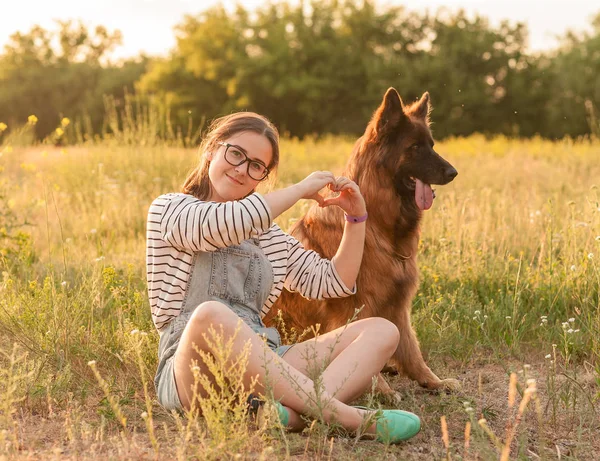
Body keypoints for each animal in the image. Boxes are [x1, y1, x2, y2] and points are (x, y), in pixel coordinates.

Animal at [266, 88, 460, 394]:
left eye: (432, 144)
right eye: (415, 147)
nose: (453, 172)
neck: (379, 229)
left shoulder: (398, 304)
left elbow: (411, 348)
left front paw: (433, 381)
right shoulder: (358, 306)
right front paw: (381, 389)